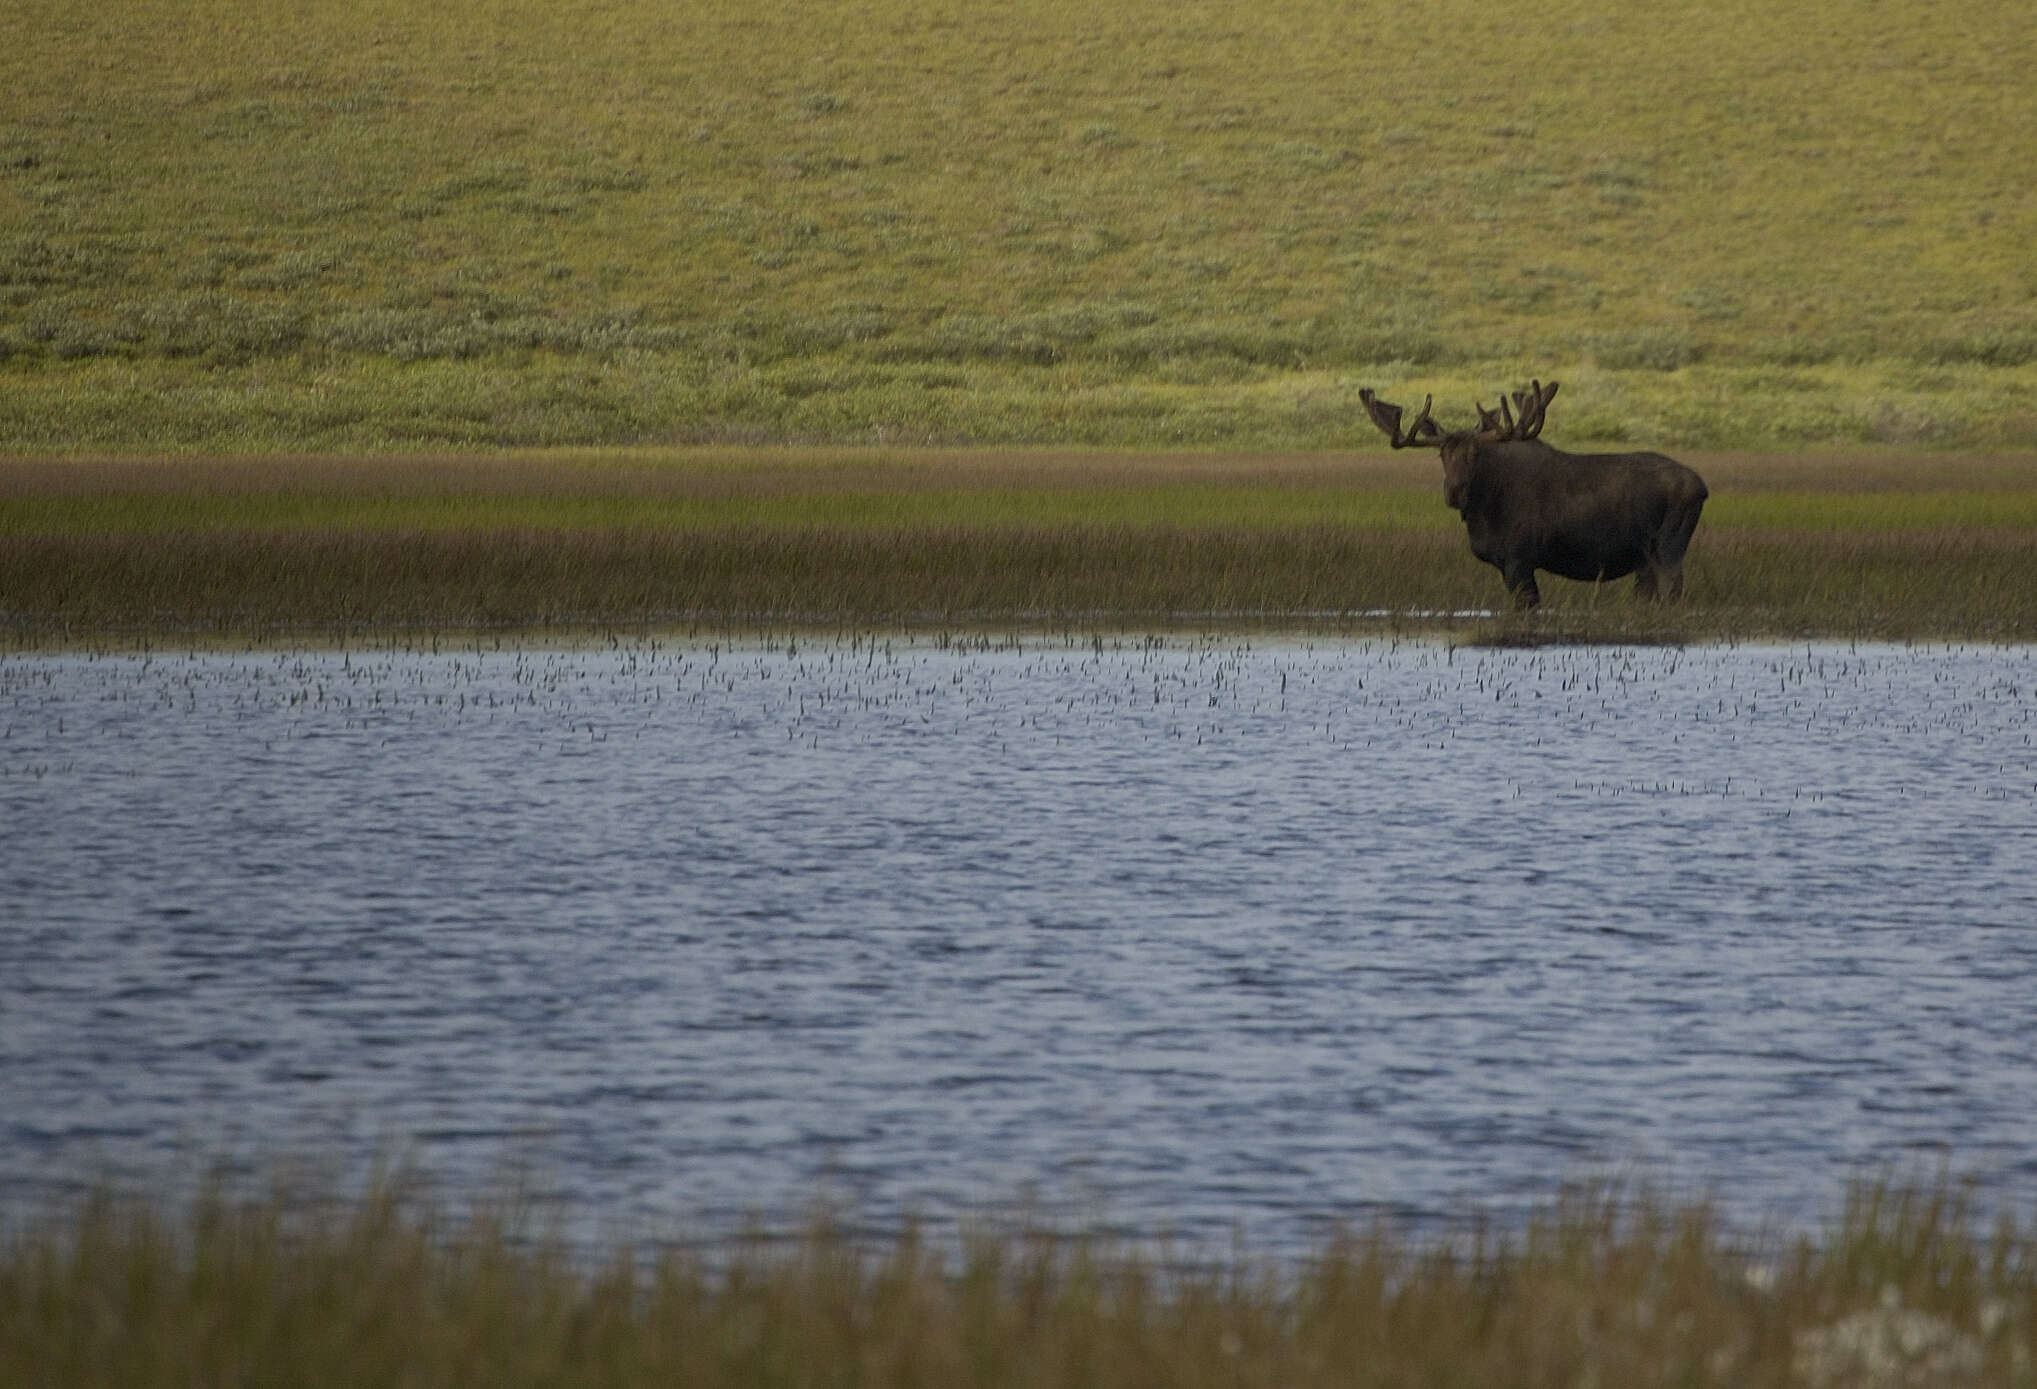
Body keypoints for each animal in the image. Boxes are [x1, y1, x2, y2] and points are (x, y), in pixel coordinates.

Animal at [1360, 384, 1711, 610]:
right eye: (1441, 455)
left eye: (1476, 454)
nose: (1454, 491)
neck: (1482, 512)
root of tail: (1702, 487)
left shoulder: (1519, 560)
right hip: (1644, 560)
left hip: (1668, 547)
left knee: (1673, 592)